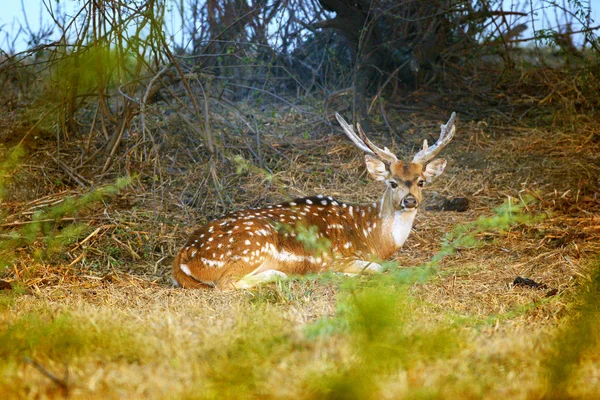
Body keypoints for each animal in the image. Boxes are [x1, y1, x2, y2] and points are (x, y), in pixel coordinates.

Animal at [171, 111, 458, 290]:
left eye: (421, 181)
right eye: (392, 182)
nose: (409, 201)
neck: (373, 237)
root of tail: (184, 254)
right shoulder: (339, 257)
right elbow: (376, 268)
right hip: (252, 247)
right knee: (225, 284)